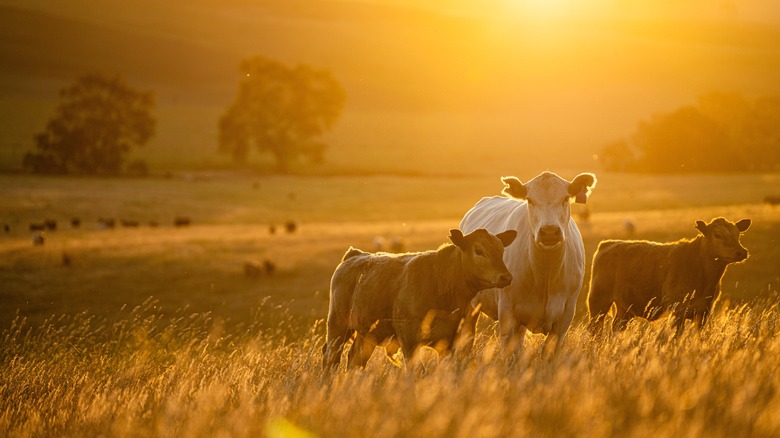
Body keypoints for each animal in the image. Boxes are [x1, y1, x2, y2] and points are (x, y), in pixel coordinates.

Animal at [320, 228, 516, 372]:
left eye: (501, 250)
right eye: (479, 251)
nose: (506, 277)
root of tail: (355, 255)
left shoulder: (451, 343)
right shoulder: (409, 341)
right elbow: (417, 371)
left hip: (367, 334)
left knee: (355, 360)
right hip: (338, 326)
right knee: (330, 357)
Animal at [458, 171, 596, 360]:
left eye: (566, 198)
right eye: (530, 200)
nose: (549, 232)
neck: (545, 273)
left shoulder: (566, 314)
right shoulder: (507, 312)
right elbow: (510, 354)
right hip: (470, 306)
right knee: (467, 336)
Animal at [588, 217, 752, 334]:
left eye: (738, 234)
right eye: (717, 235)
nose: (741, 252)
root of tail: (608, 243)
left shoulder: (704, 311)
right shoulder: (678, 310)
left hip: (624, 308)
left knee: (616, 327)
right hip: (598, 302)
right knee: (595, 328)